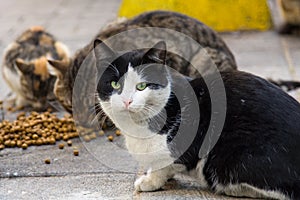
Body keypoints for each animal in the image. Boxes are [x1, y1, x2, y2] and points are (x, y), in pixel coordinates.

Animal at [95, 39, 300, 200]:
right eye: (115, 84)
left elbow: (165, 165)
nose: (127, 101)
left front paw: (150, 181)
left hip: (230, 158)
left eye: (142, 86)